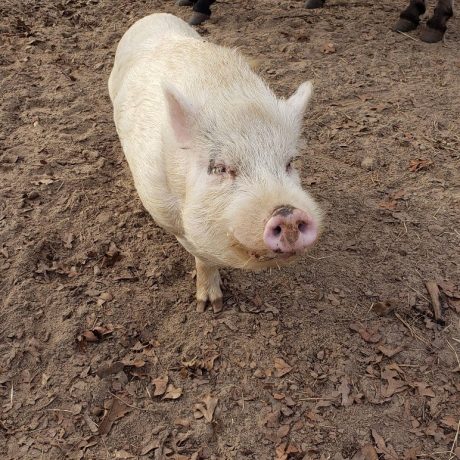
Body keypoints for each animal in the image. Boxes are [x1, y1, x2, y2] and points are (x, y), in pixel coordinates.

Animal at [109, 13, 322, 312]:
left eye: (289, 163)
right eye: (219, 168)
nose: (288, 213)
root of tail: (152, 15)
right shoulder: (171, 218)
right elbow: (203, 257)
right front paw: (210, 307)